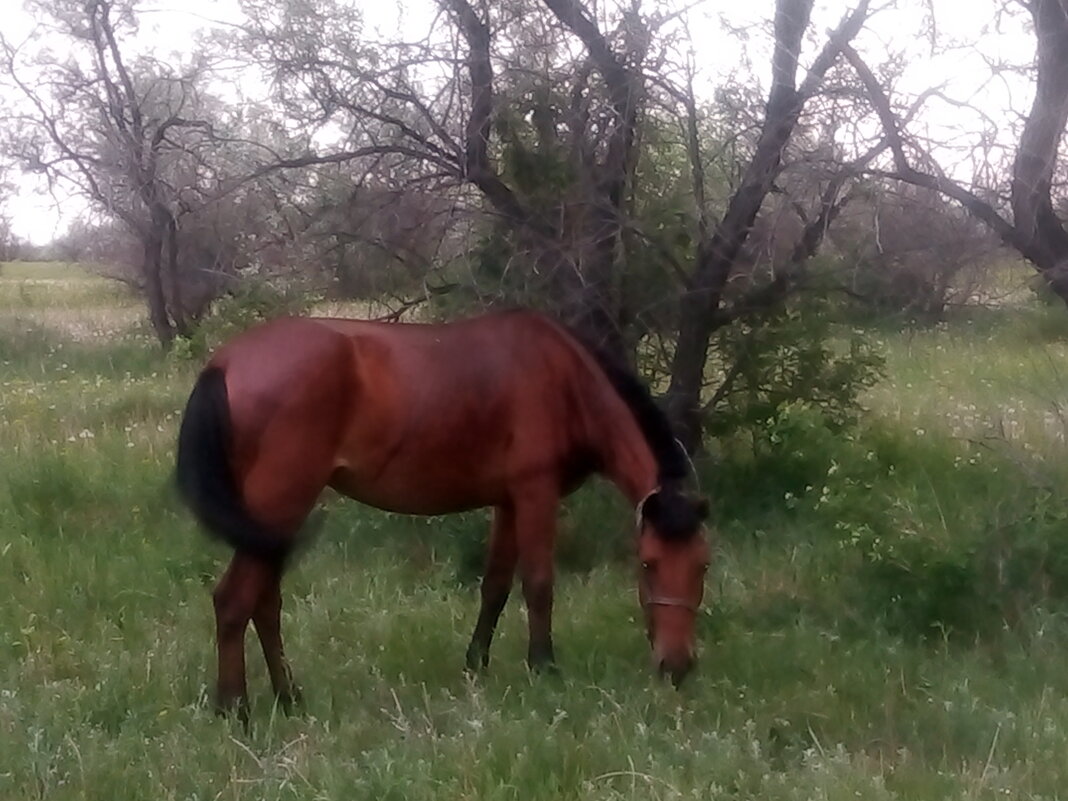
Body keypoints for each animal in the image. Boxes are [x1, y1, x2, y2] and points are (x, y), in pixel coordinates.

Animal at [173, 309, 709, 717]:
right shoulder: (535, 494)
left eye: (703, 566)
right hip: (281, 506)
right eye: (648, 564)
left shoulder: (508, 501)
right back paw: (234, 708)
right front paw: (544, 667)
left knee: (263, 603)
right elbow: (538, 583)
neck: (564, 379)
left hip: (273, 523)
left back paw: (288, 697)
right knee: (234, 601)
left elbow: (496, 585)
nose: (676, 667)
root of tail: (225, 362)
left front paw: (476, 663)